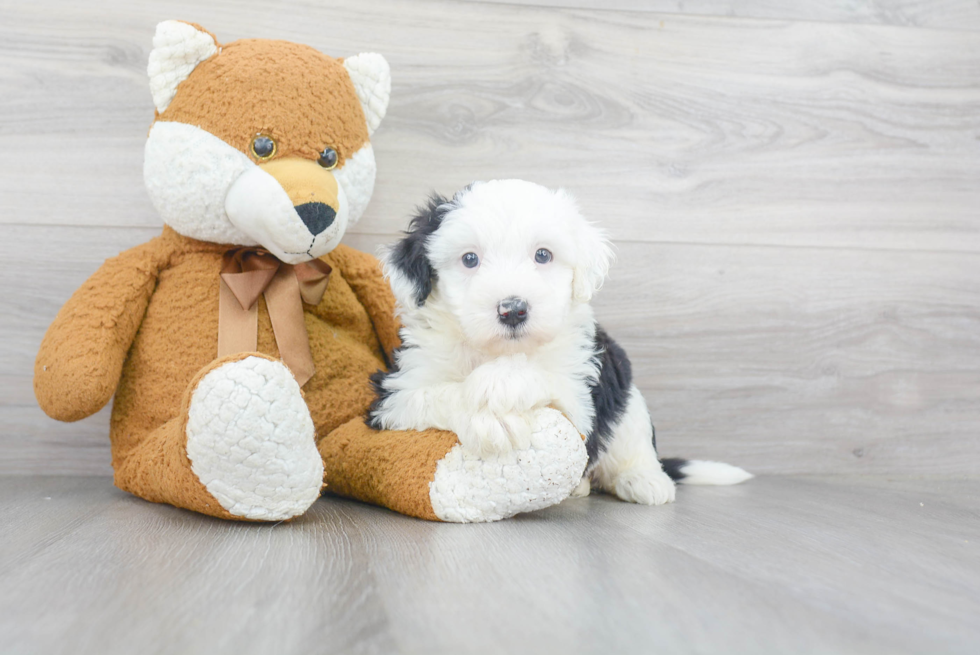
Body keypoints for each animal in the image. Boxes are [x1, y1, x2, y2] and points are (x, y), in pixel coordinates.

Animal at [368, 179, 752, 508]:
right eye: (469, 259)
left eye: (543, 255)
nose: (513, 309)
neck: (498, 350)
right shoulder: (394, 396)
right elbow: (429, 394)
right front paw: (489, 417)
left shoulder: (581, 397)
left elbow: (546, 378)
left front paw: (500, 383)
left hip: (626, 395)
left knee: (631, 441)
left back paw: (643, 479)